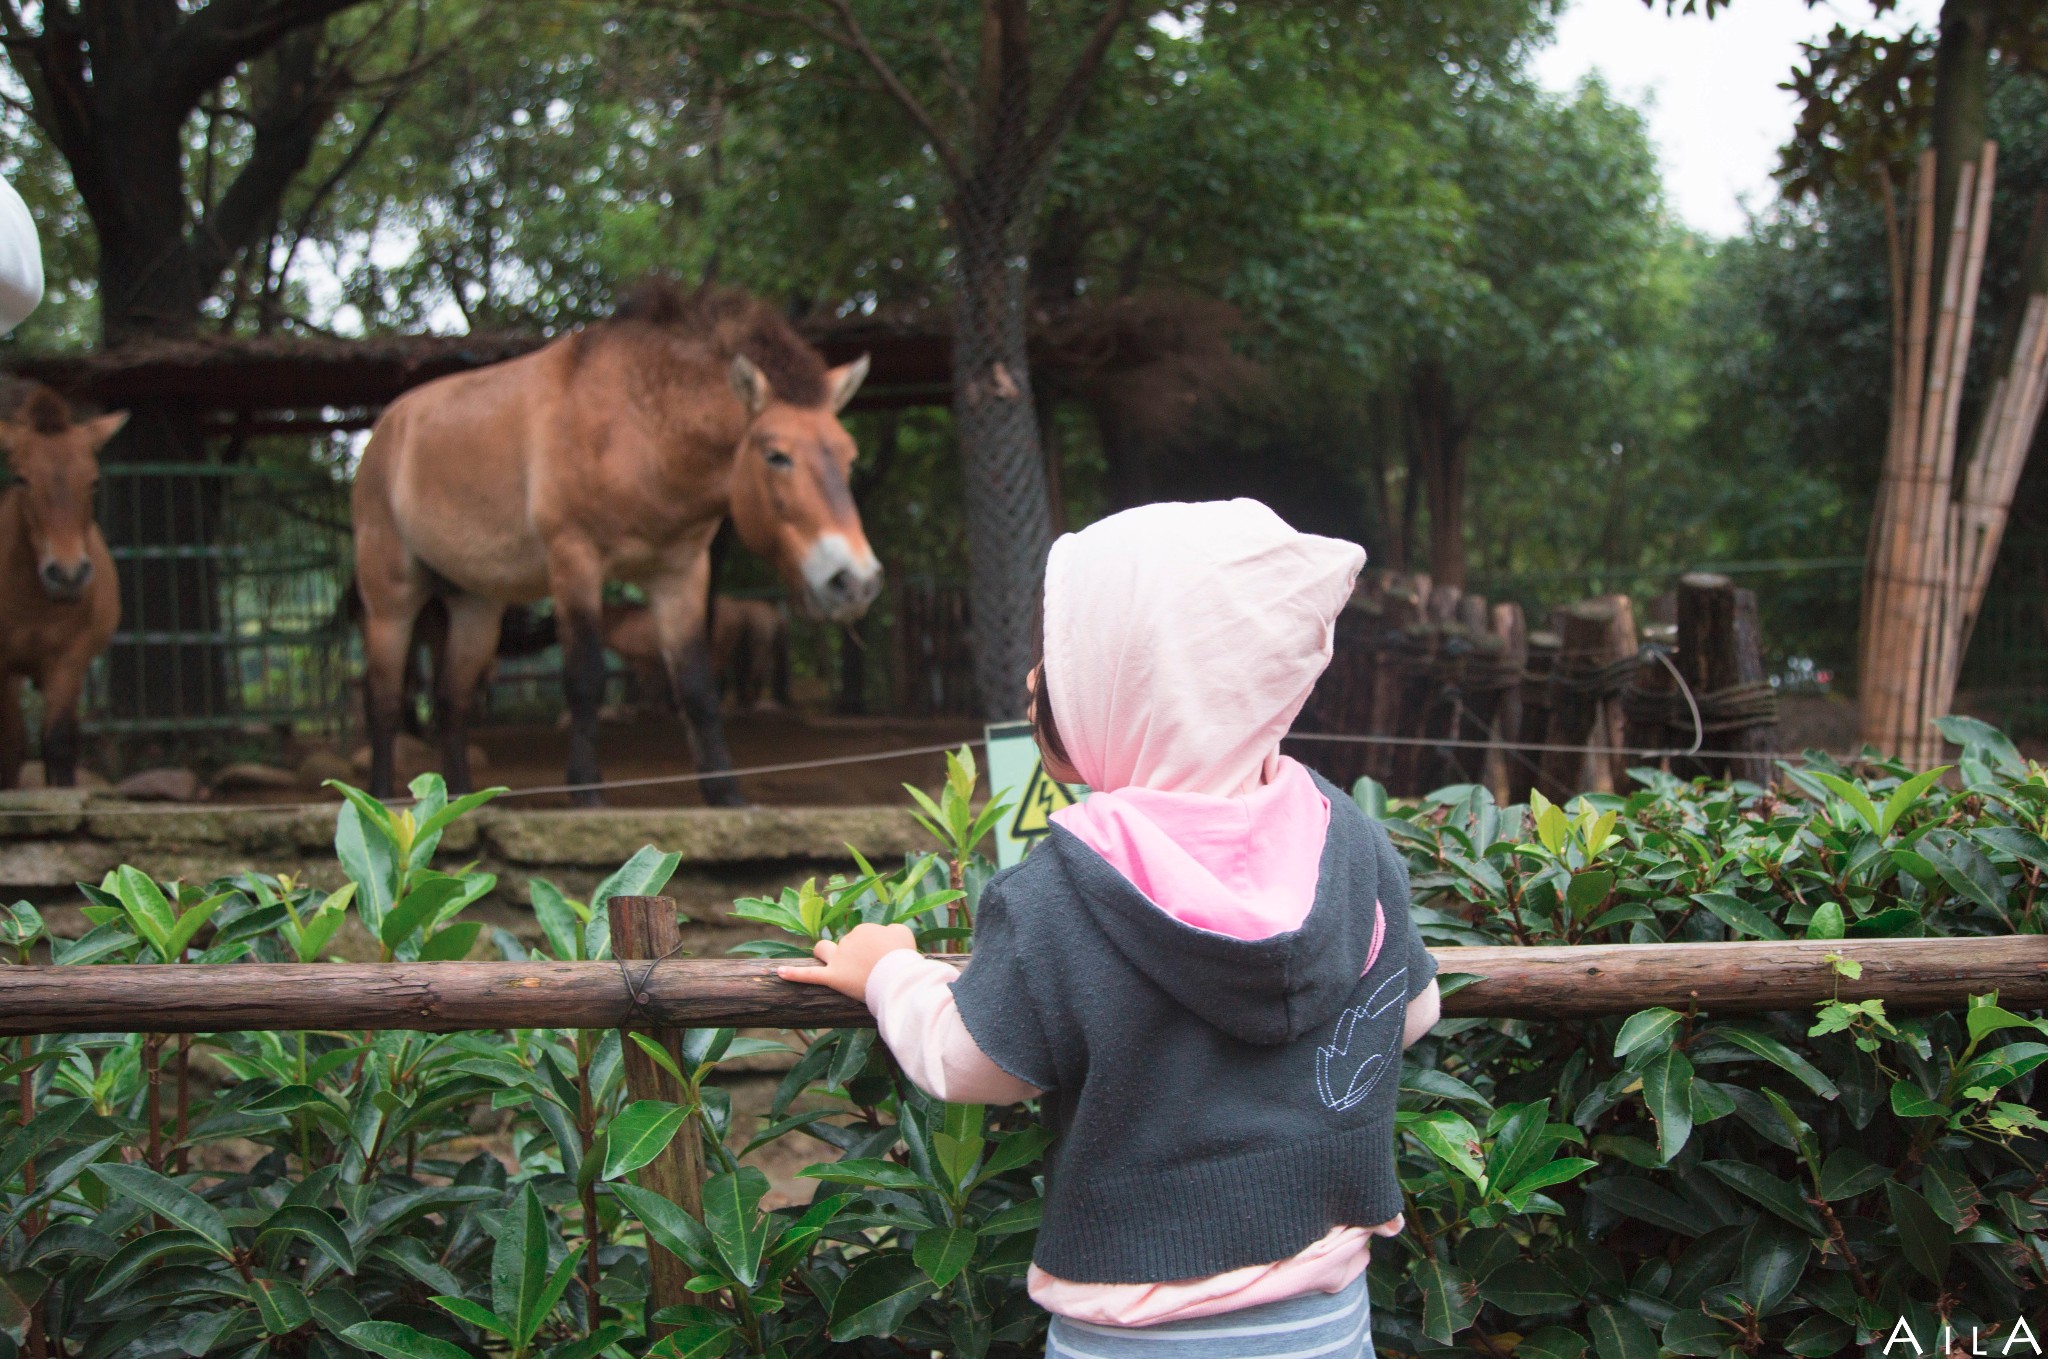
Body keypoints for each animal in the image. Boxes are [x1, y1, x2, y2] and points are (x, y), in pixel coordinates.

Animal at [0, 384, 124, 785]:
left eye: (94, 481)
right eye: (21, 479)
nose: (68, 574)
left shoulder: (70, 659)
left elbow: (57, 744)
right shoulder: (2, 666)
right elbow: (11, 745)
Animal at [354, 280, 880, 802]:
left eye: (850, 456)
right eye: (776, 455)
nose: (854, 582)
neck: (638, 429)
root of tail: (384, 431)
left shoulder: (681, 573)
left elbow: (697, 686)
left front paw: (726, 794)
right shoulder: (575, 561)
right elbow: (586, 677)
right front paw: (586, 792)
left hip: (476, 604)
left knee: (451, 700)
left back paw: (458, 801)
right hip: (390, 599)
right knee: (384, 698)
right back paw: (377, 797)